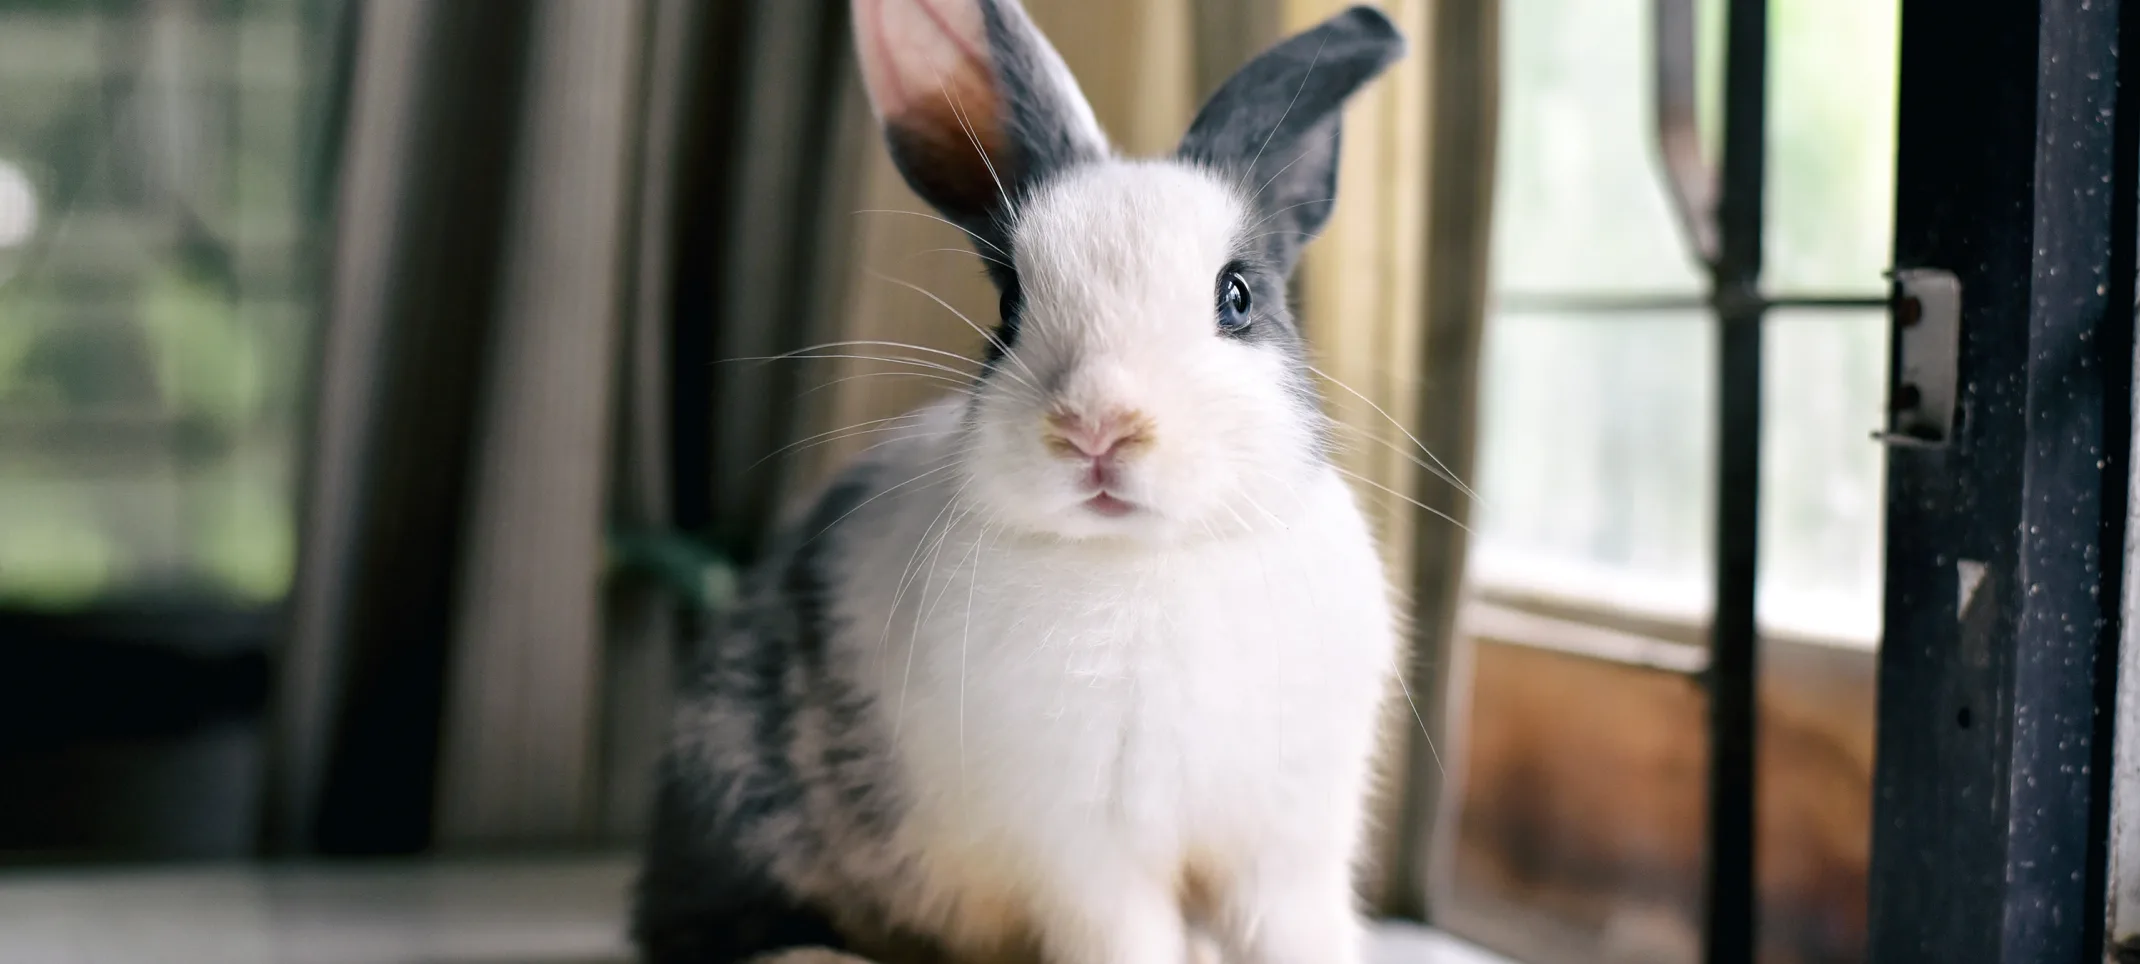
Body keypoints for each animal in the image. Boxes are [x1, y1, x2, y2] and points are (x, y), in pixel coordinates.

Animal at [624, 1, 1412, 964]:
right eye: (1008, 307)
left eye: (1238, 297)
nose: (1098, 426)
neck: (1146, 559)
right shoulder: (1089, 858)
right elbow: (1126, 939)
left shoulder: (1288, 850)